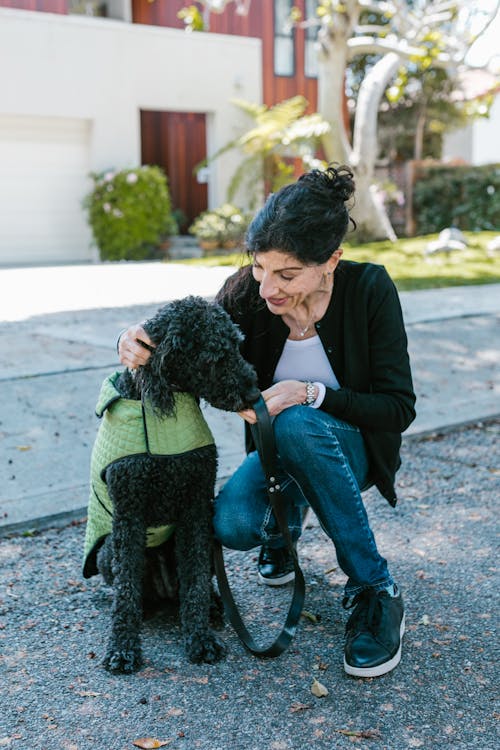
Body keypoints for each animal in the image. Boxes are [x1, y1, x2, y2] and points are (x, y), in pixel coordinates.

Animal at [82, 298, 260, 676]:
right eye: (213, 356)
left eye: (238, 345)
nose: (254, 393)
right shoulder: (129, 516)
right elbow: (126, 591)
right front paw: (122, 648)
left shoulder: (196, 508)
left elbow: (194, 582)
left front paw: (200, 639)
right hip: (107, 554)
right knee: (129, 586)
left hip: (209, 541)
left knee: (197, 583)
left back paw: (213, 606)